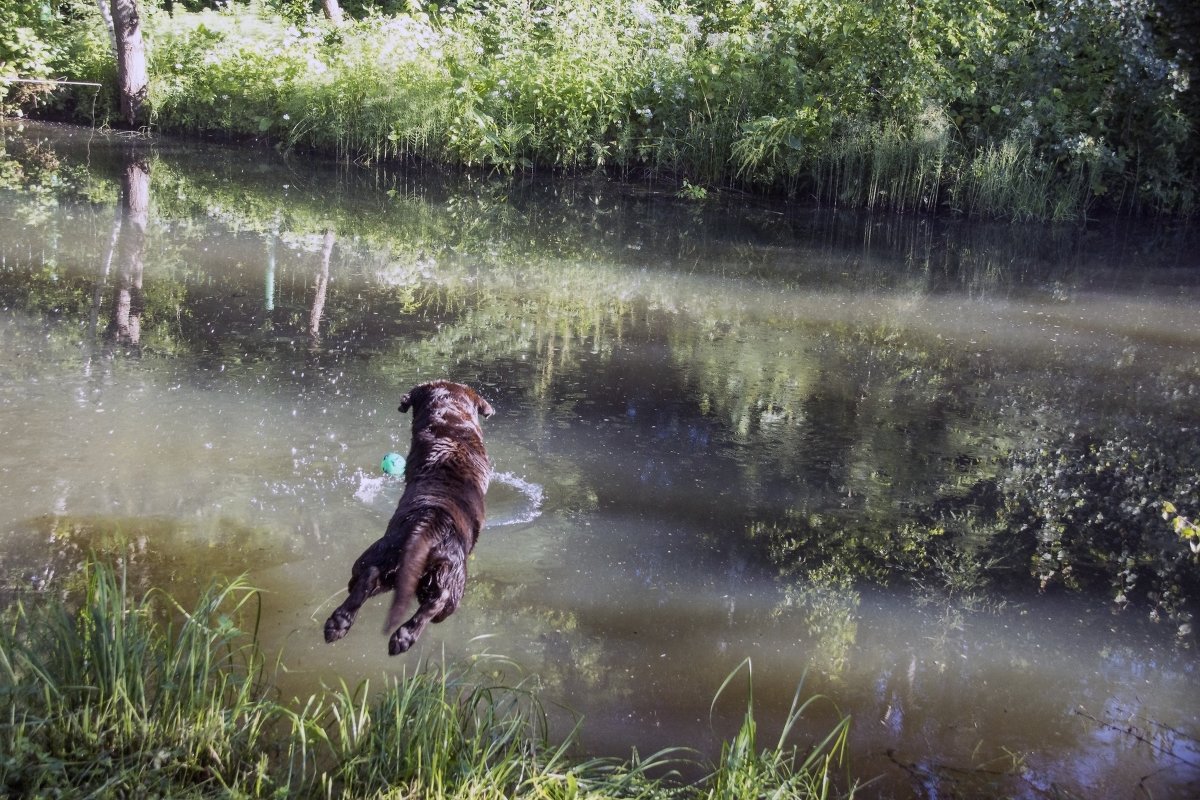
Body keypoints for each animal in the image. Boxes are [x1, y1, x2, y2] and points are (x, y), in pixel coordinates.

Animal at [321, 381, 494, 657]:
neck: (452, 424)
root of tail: (430, 521)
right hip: (453, 582)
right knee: (436, 602)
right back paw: (404, 636)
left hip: (383, 558)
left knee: (369, 577)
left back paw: (339, 623)